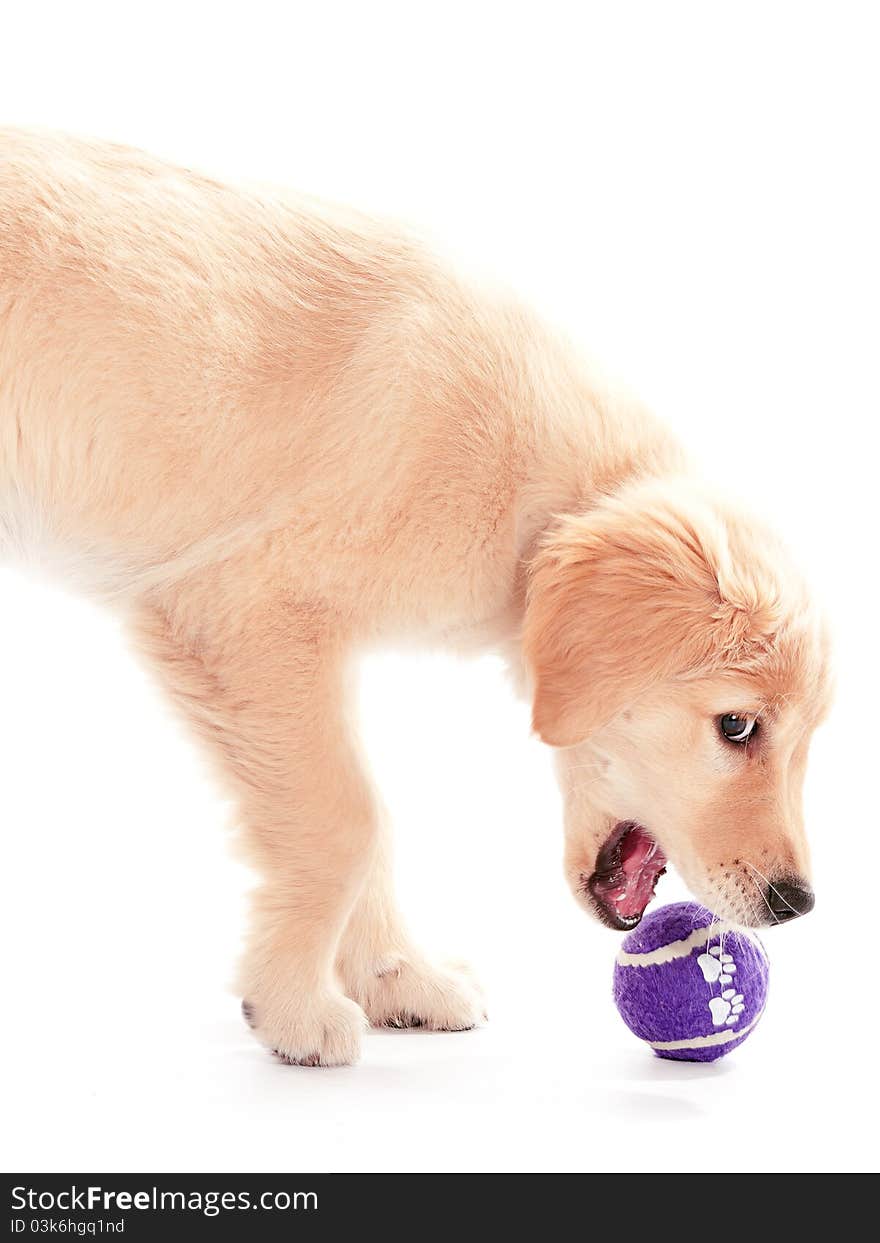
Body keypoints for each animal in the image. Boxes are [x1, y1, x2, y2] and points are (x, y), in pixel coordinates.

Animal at [0, 128, 830, 1068]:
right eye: (738, 726)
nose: (798, 903)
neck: (539, 495)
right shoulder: (247, 612)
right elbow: (346, 818)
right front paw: (292, 1005)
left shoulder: (307, 656)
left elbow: (362, 813)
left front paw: (399, 977)